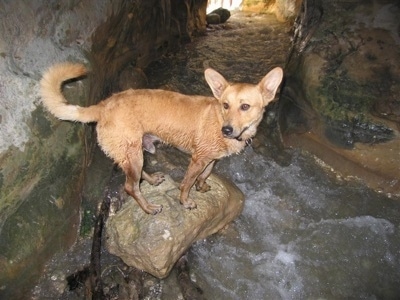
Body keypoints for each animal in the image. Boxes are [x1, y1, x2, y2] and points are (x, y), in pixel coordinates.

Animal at [39, 62, 284, 214]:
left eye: (245, 106)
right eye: (225, 105)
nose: (226, 130)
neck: (218, 118)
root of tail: (102, 106)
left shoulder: (210, 159)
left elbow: (205, 175)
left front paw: (202, 186)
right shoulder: (197, 159)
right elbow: (186, 184)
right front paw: (186, 202)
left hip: (134, 153)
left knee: (135, 177)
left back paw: (151, 180)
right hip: (133, 154)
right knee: (130, 187)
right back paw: (148, 208)